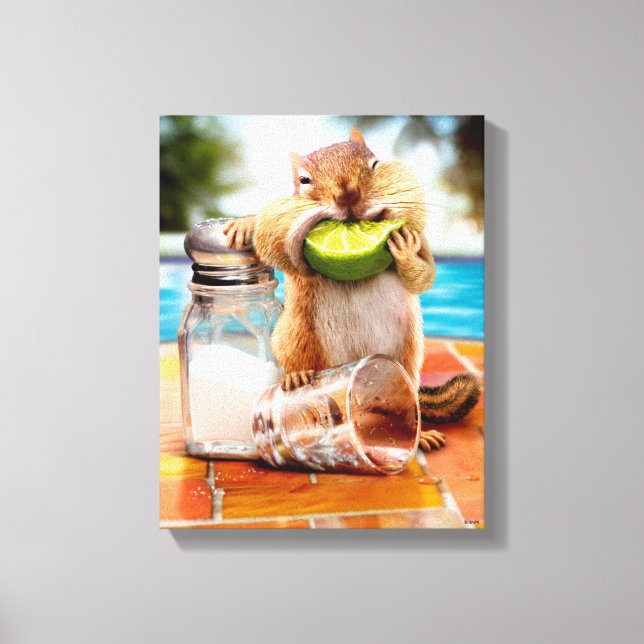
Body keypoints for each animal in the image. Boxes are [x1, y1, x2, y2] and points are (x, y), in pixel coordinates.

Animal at [224, 128, 480, 451]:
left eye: (375, 163)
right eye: (303, 180)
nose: (347, 194)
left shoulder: (422, 240)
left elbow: (424, 276)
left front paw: (405, 252)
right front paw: (244, 225)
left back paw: (419, 435)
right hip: (292, 336)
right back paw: (297, 377)